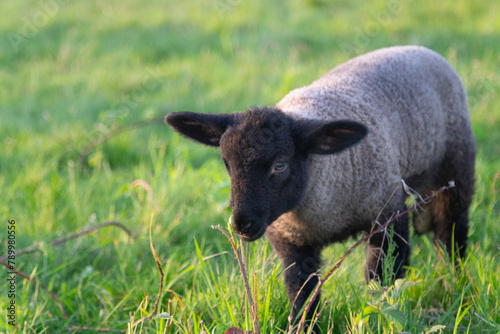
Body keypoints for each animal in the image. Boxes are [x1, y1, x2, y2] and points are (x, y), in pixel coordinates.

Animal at [165, 45, 476, 330]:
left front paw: (379, 319)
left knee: (451, 233)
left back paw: (452, 280)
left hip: (456, 171)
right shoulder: (292, 243)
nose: (242, 225)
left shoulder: (387, 220)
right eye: (226, 163)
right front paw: (303, 327)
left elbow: (382, 284)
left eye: (280, 164)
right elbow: (302, 296)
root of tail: (420, 48)